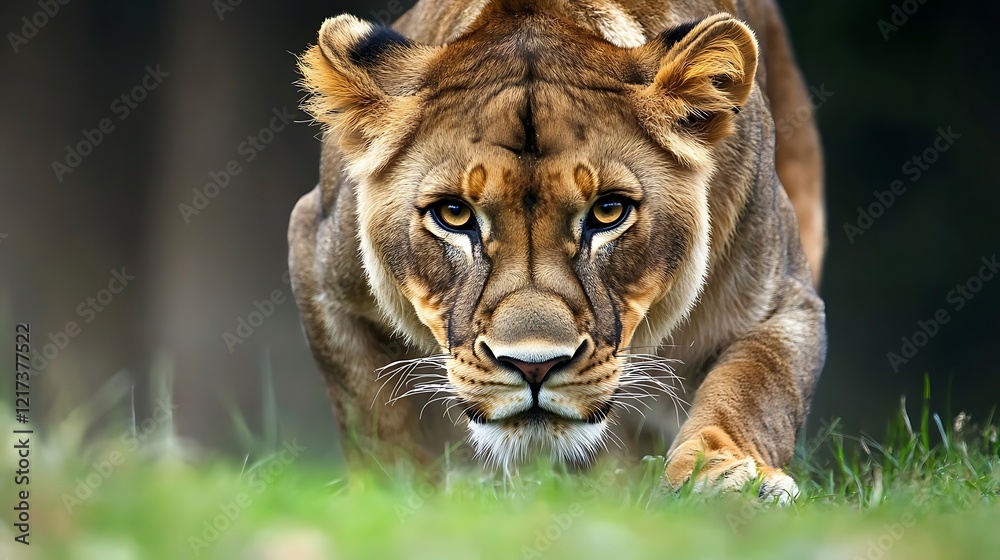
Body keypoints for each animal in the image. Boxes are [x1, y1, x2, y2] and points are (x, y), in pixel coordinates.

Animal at [289, 0, 826, 503]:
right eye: (454, 214)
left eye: (608, 211)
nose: (534, 366)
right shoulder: (316, 258)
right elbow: (379, 425)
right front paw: (398, 500)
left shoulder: (786, 302)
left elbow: (752, 389)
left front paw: (723, 482)